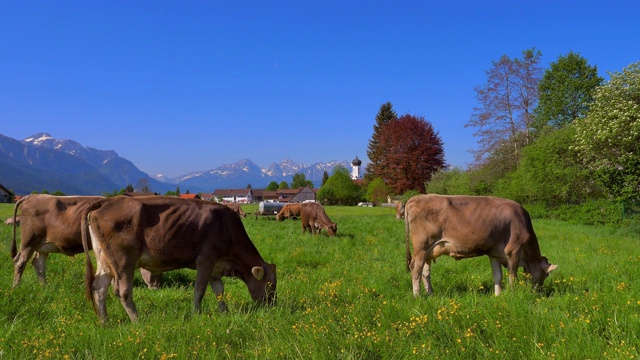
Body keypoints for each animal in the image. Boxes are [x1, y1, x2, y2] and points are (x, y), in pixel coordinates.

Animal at [11, 194, 160, 290]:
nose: (156, 287)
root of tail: (31, 196)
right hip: (29, 241)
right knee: (20, 262)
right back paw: (16, 286)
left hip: (42, 245)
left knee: (38, 263)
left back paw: (44, 286)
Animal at [82, 195, 278, 322]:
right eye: (270, 285)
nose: (272, 305)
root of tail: (107, 201)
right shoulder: (205, 260)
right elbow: (199, 291)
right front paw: (196, 314)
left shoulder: (217, 267)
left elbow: (219, 291)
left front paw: (224, 311)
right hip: (124, 261)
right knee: (122, 291)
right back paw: (138, 320)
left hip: (105, 260)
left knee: (99, 287)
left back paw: (105, 321)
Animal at [404, 195, 556, 296]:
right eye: (546, 274)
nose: (539, 291)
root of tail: (415, 198)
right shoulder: (513, 251)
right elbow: (512, 276)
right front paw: (512, 295)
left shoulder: (495, 253)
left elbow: (498, 276)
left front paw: (497, 295)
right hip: (422, 247)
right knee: (416, 269)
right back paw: (417, 295)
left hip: (429, 251)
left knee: (425, 272)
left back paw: (430, 294)